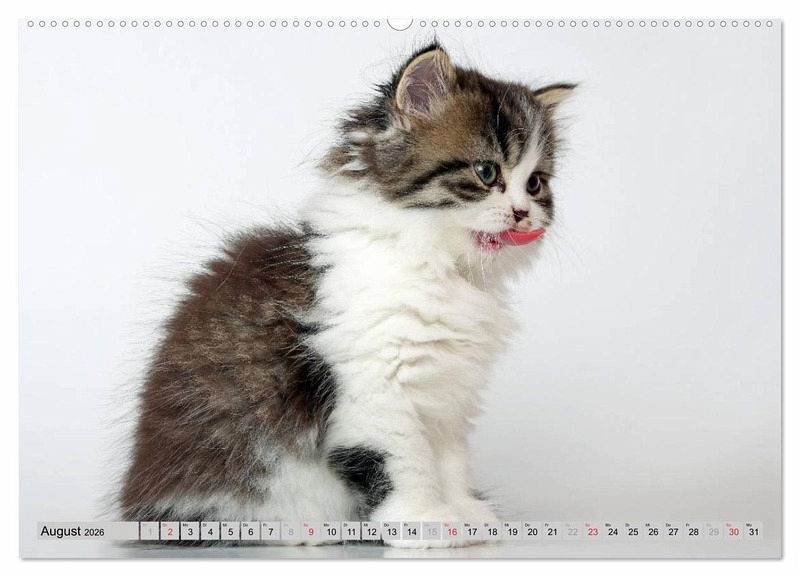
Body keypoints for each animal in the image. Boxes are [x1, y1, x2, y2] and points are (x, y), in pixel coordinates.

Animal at [119, 42, 574, 548]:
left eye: (535, 183)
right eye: (487, 171)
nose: (522, 213)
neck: (440, 267)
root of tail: (139, 502)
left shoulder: (445, 397)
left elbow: (448, 463)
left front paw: (465, 514)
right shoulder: (377, 386)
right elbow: (407, 463)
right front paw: (425, 520)